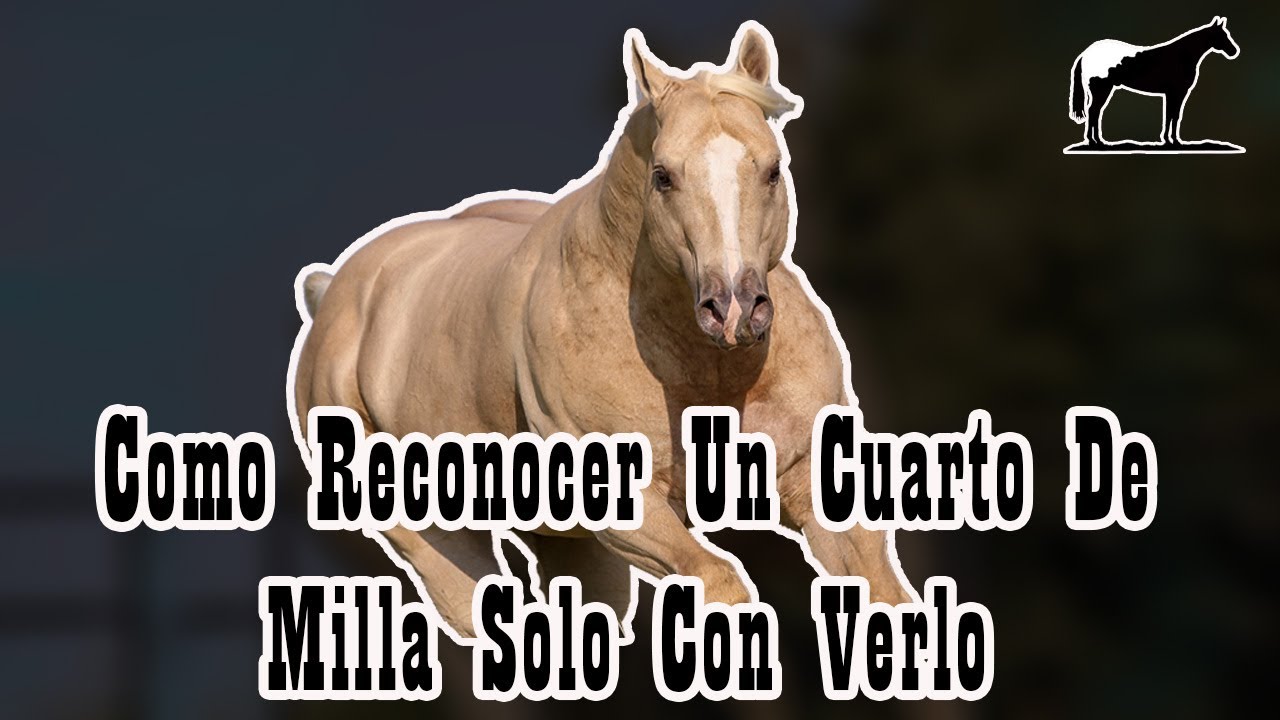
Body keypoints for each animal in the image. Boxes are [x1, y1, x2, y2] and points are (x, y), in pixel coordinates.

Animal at [287, 22, 914, 641]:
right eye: (663, 176)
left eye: (772, 169)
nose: (735, 310)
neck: (709, 372)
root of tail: (336, 295)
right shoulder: (631, 513)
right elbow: (722, 584)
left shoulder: (814, 486)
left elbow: (887, 597)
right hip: (438, 545)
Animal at [1069, 17, 1239, 146]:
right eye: (1222, 35)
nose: (1234, 51)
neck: (1182, 56)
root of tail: (1086, 54)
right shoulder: (1177, 92)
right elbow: (1174, 115)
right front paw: (1173, 141)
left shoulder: (1172, 94)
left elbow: (1171, 115)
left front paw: (1169, 140)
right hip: (1102, 90)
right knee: (1094, 111)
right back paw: (1094, 142)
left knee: (1095, 112)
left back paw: (1097, 141)